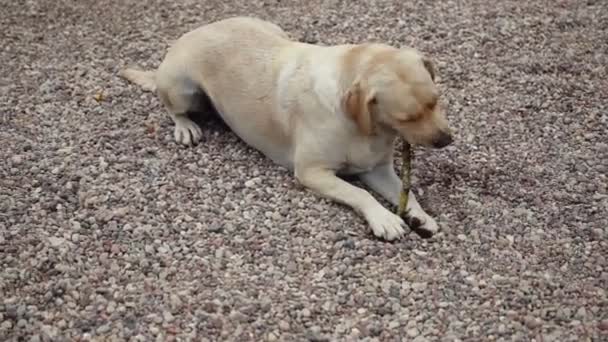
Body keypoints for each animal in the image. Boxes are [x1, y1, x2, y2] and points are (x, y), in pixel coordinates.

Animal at [119, 16, 452, 240]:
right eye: (407, 117)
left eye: (436, 101)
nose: (447, 139)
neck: (365, 127)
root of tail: (191, 32)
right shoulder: (312, 173)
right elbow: (360, 194)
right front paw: (384, 218)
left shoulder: (376, 169)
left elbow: (405, 192)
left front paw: (420, 215)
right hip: (181, 88)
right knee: (171, 107)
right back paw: (185, 125)